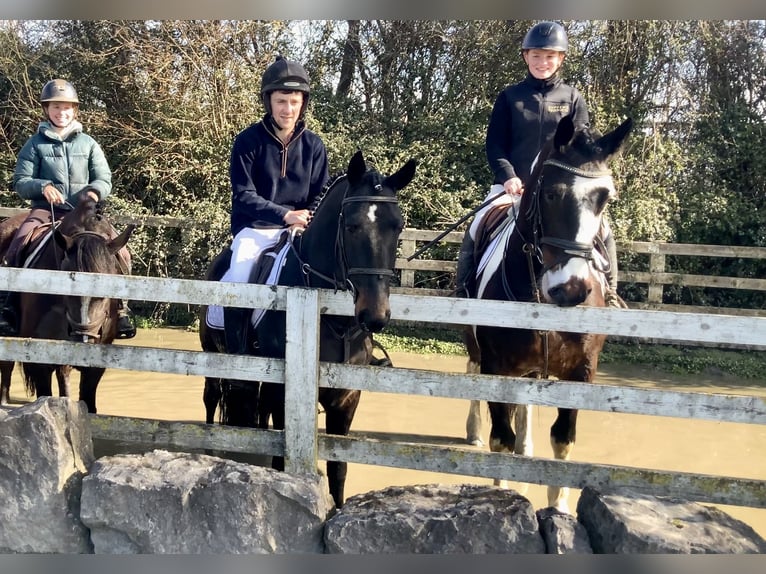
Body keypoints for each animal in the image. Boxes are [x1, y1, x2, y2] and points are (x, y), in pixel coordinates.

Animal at [199, 150, 417, 507]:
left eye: (397, 227)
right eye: (351, 226)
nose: (375, 315)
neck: (329, 318)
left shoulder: (347, 397)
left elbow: (338, 469)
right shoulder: (282, 393)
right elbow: (280, 461)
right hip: (214, 359)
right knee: (212, 400)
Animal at [463, 115, 633, 512]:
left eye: (604, 199)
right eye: (552, 193)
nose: (571, 290)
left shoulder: (581, 372)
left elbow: (563, 439)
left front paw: (558, 507)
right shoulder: (496, 366)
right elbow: (501, 437)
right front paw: (503, 493)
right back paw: (474, 432)